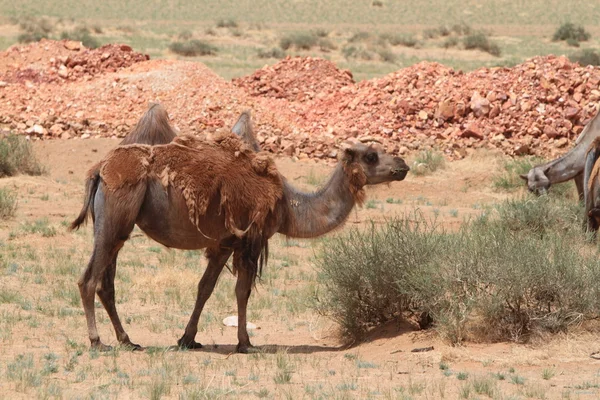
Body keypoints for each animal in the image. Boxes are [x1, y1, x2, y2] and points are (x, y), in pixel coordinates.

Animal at [69, 132, 408, 354]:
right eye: (371, 155)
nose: (402, 165)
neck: (288, 205)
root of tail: (99, 170)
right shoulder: (250, 240)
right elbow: (242, 291)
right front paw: (246, 343)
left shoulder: (223, 243)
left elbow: (204, 288)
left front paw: (187, 339)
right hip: (115, 219)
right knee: (89, 279)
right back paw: (97, 342)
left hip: (115, 227)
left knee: (106, 284)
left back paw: (128, 340)